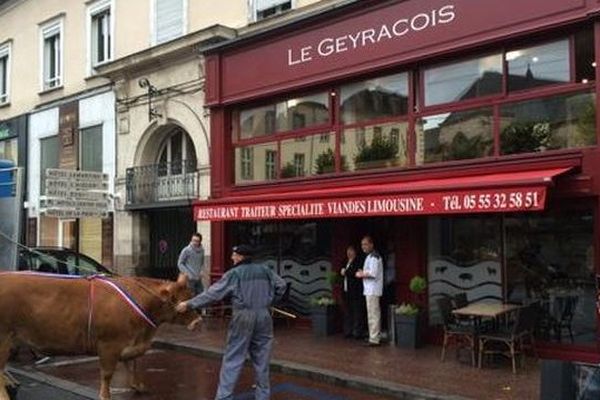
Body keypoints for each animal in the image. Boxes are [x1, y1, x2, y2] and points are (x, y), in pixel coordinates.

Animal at [0, 272, 199, 400]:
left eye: (191, 295)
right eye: (183, 300)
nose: (199, 321)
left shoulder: (130, 343)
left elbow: (132, 365)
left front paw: (138, 387)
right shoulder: (109, 345)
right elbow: (107, 374)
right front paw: (105, 396)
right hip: (4, 340)